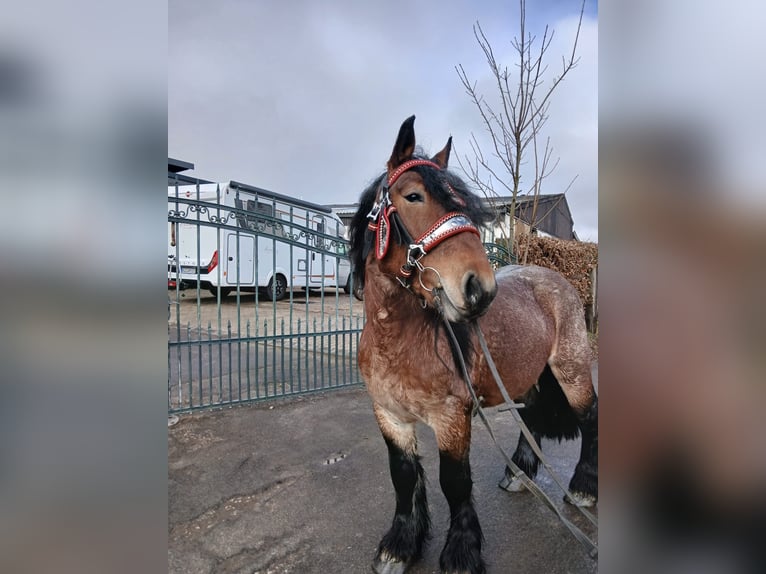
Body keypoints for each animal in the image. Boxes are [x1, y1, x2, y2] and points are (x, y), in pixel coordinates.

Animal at [349, 116, 598, 574]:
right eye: (413, 195)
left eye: (464, 204)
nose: (480, 288)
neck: (399, 341)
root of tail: (557, 279)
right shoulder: (389, 416)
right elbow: (403, 476)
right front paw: (400, 546)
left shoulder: (451, 417)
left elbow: (455, 482)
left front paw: (461, 554)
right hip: (527, 375)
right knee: (531, 415)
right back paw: (518, 474)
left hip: (571, 371)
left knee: (590, 418)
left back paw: (583, 489)